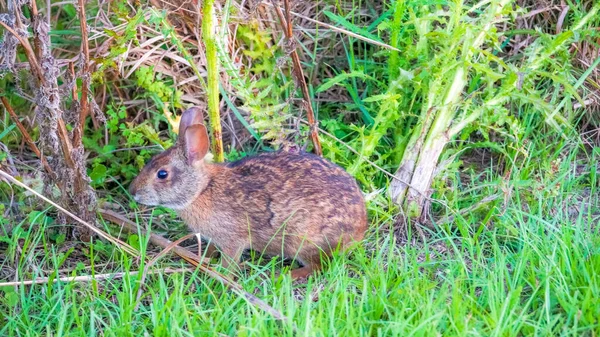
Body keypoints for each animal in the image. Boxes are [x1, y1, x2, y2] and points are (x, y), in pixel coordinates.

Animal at [129, 107, 368, 278]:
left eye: (162, 174)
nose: (133, 192)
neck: (202, 189)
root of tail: (360, 227)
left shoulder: (233, 239)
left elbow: (230, 261)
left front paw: (221, 275)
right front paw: (207, 258)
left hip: (305, 240)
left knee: (319, 266)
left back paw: (286, 275)